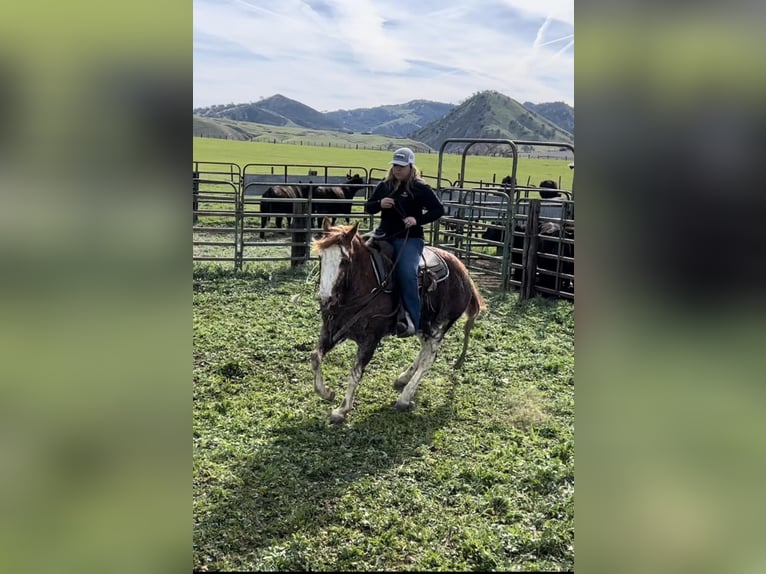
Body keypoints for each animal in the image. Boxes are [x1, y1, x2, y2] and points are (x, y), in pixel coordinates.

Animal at [310, 219, 486, 424]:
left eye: (345, 261)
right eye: (321, 257)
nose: (325, 298)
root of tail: (464, 273)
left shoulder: (370, 339)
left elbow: (355, 373)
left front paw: (342, 409)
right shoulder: (330, 329)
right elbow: (315, 357)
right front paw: (327, 393)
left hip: (440, 326)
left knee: (429, 359)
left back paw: (405, 397)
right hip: (422, 325)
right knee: (424, 350)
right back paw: (404, 378)